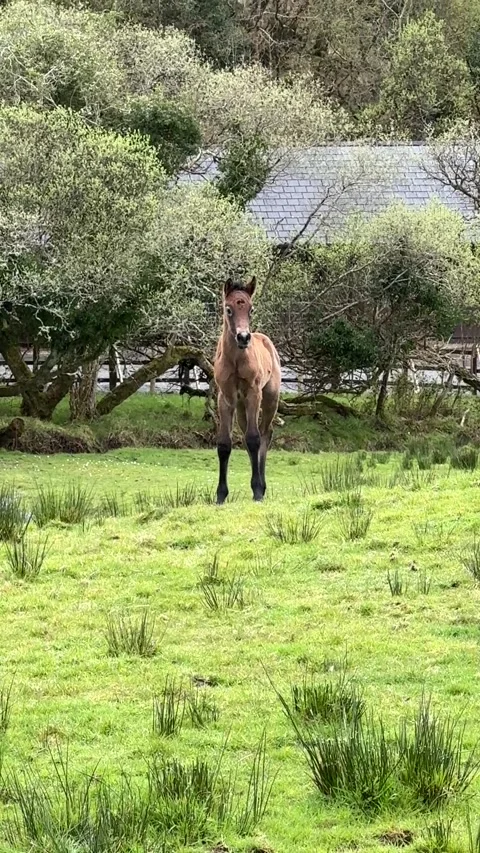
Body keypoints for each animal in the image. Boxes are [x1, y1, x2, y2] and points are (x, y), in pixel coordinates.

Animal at [214, 276, 281, 504]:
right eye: (228, 309)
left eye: (251, 309)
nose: (243, 337)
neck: (236, 360)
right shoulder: (225, 398)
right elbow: (224, 444)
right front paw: (220, 495)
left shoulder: (253, 393)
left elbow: (254, 439)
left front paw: (258, 490)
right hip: (242, 406)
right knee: (247, 435)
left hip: (269, 399)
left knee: (264, 434)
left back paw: (262, 485)